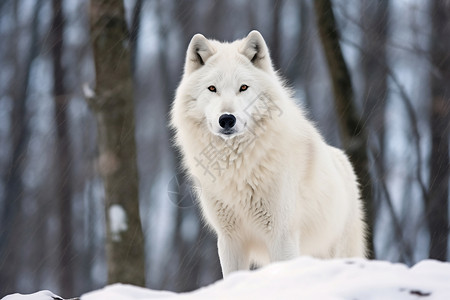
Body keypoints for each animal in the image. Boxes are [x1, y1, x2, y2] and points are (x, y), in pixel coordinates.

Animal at [171, 30, 368, 276]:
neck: (237, 169)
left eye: (243, 88)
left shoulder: (281, 236)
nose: (227, 119)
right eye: (212, 88)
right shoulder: (229, 239)